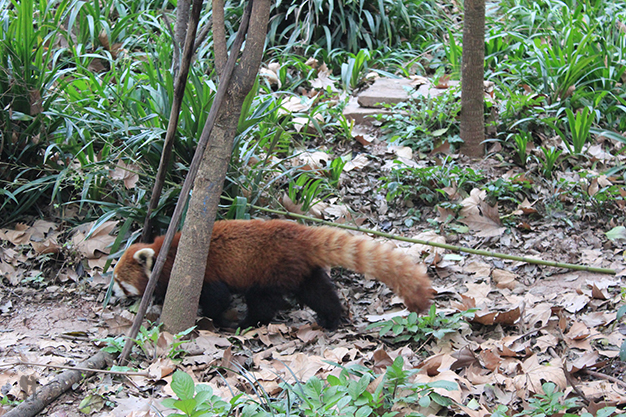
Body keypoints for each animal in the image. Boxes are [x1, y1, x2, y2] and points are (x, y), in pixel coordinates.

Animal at [112, 219, 432, 330]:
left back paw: (248, 323)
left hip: (268, 270)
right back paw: (331, 318)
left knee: (263, 300)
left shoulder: (205, 274)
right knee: (319, 293)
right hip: (299, 271)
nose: (111, 294)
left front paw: (216, 318)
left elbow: (217, 298)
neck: (165, 254)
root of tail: (299, 234)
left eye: (119, 282)